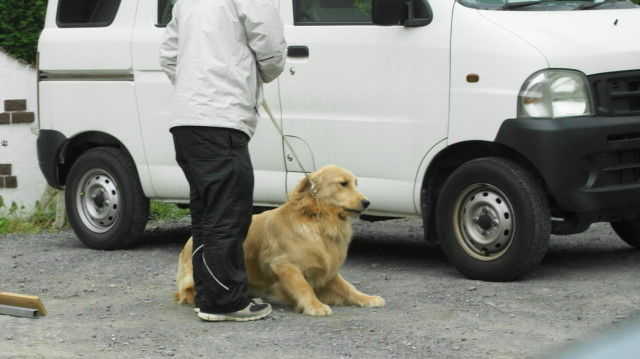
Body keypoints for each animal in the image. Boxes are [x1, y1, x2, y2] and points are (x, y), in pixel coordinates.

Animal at [172, 165, 384, 316]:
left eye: (356, 183)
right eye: (343, 183)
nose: (367, 202)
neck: (317, 220)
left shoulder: (327, 269)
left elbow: (349, 288)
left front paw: (368, 298)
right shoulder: (283, 265)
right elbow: (304, 286)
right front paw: (314, 306)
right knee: (186, 291)